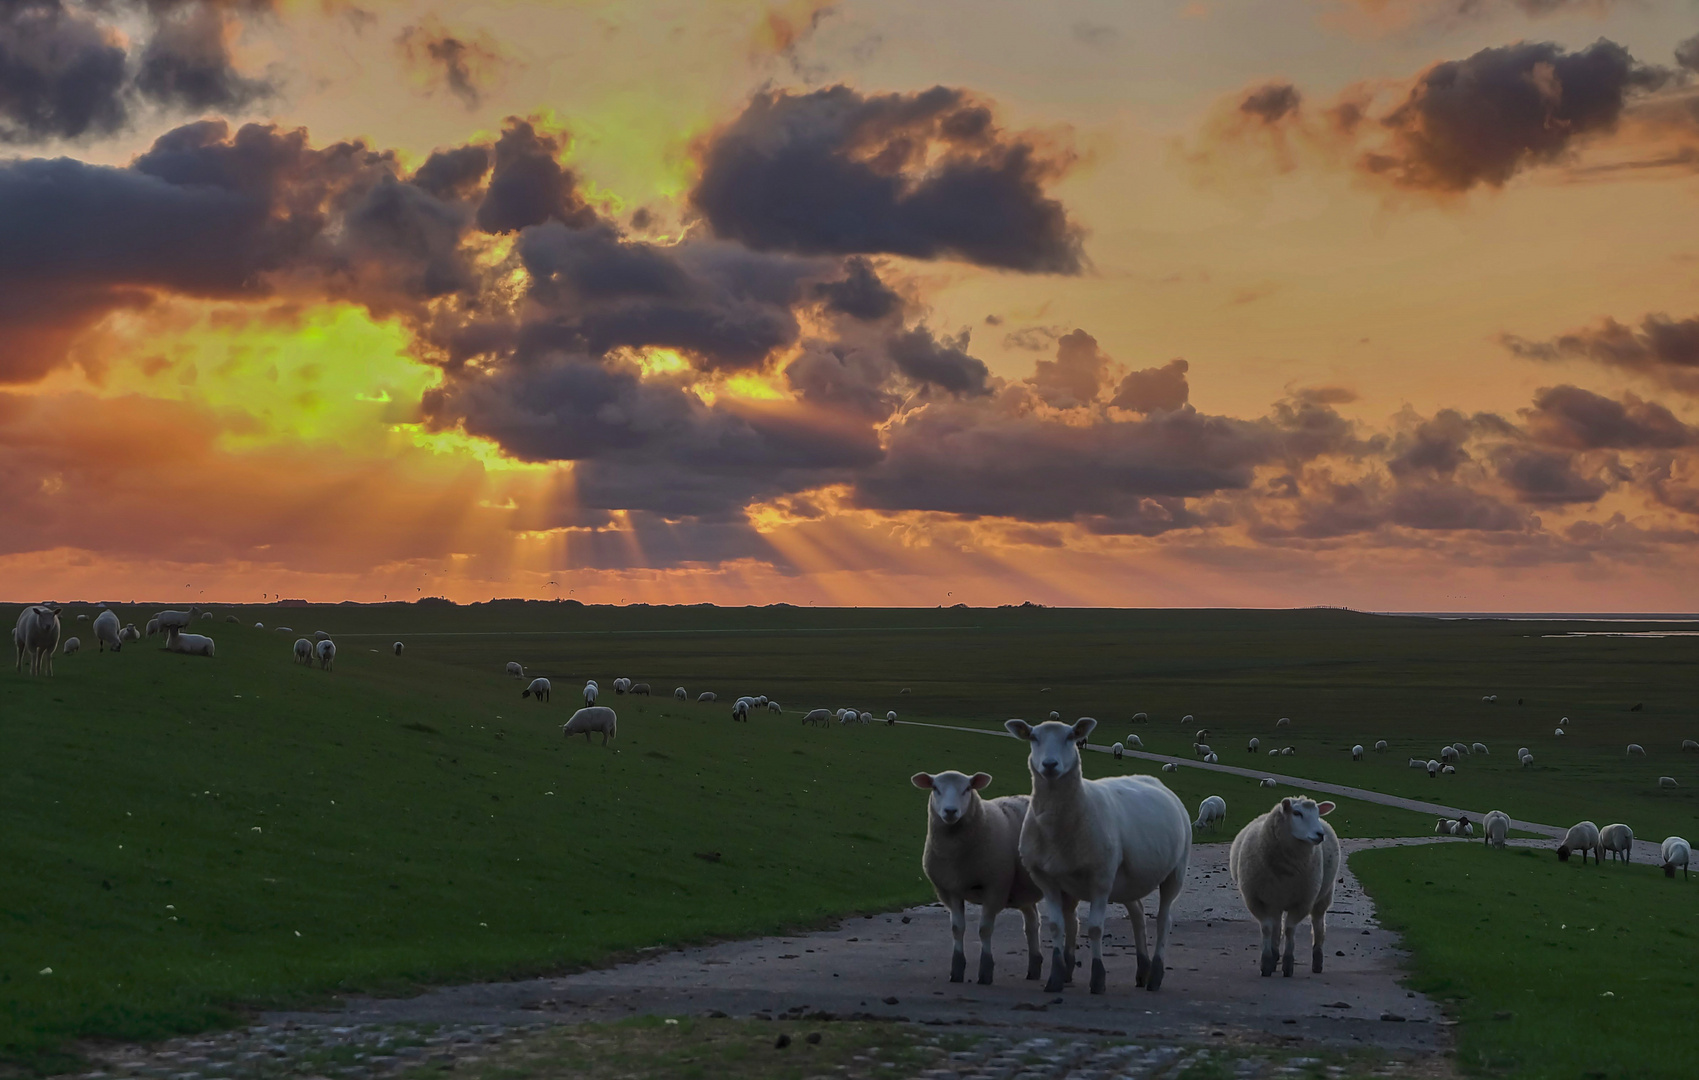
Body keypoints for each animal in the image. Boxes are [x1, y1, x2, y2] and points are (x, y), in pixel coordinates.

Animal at [910, 767, 1053, 984]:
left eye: (967, 788)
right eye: (935, 788)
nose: (950, 811)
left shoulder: (995, 888)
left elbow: (984, 929)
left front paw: (985, 971)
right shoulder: (950, 891)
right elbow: (957, 929)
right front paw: (957, 970)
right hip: (1022, 889)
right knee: (1032, 923)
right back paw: (1034, 967)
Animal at [999, 716, 1189, 998]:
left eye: (1070, 736)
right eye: (1033, 737)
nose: (1050, 765)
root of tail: (1155, 781)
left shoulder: (1100, 878)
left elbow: (1095, 929)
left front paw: (1098, 979)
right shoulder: (1046, 879)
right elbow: (1056, 926)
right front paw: (1055, 979)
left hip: (1175, 871)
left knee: (1164, 920)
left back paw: (1155, 975)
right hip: (1127, 880)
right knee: (1138, 914)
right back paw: (1142, 970)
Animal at [1223, 794, 1338, 978]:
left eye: (1317, 813)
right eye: (1297, 813)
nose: (1320, 835)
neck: (1284, 871)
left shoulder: (1303, 901)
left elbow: (1290, 929)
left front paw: (1288, 964)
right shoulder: (1256, 900)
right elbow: (1267, 928)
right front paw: (1266, 962)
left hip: (1323, 896)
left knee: (1318, 925)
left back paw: (1317, 961)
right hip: (1275, 900)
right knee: (1276, 927)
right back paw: (1274, 955)